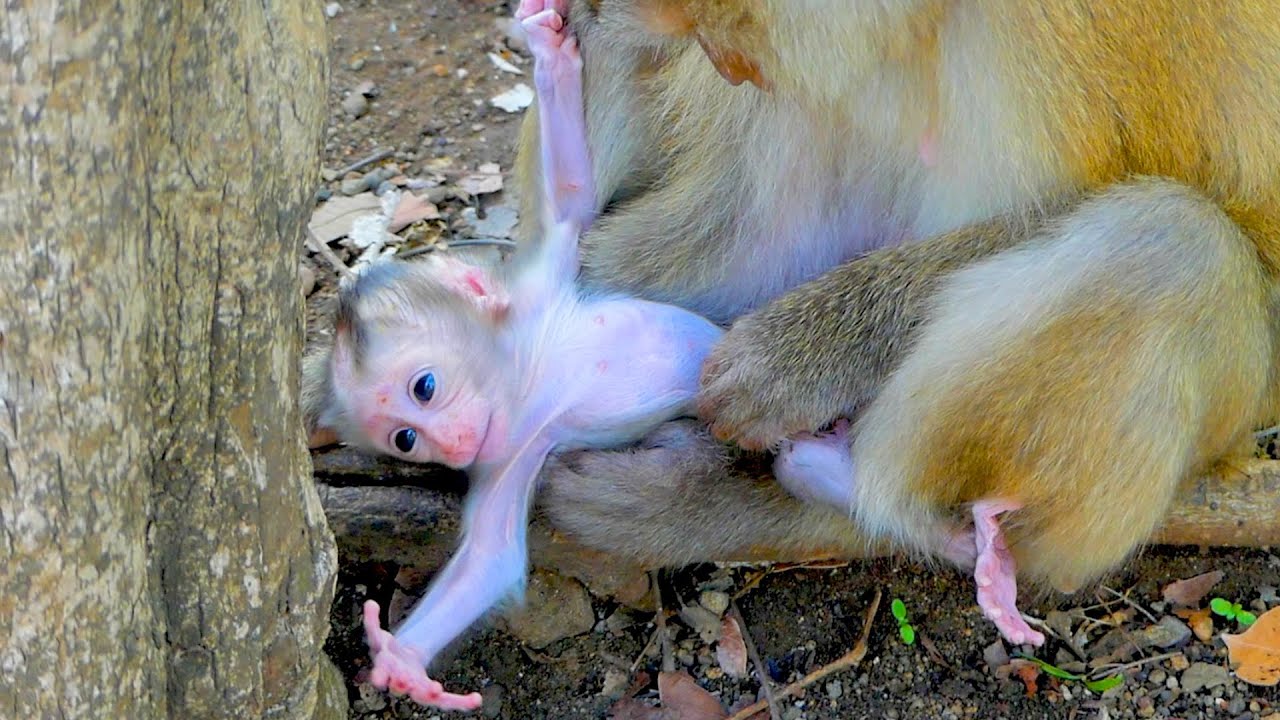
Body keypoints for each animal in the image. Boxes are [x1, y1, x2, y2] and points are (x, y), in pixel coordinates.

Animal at [302, 2, 723, 707]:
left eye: (424, 387)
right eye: (405, 440)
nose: (449, 446)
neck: (524, 381)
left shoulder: (537, 292)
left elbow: (575, 202)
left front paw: (546, 51)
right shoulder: (510, 455)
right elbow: (490, 556)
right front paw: (401, 663)